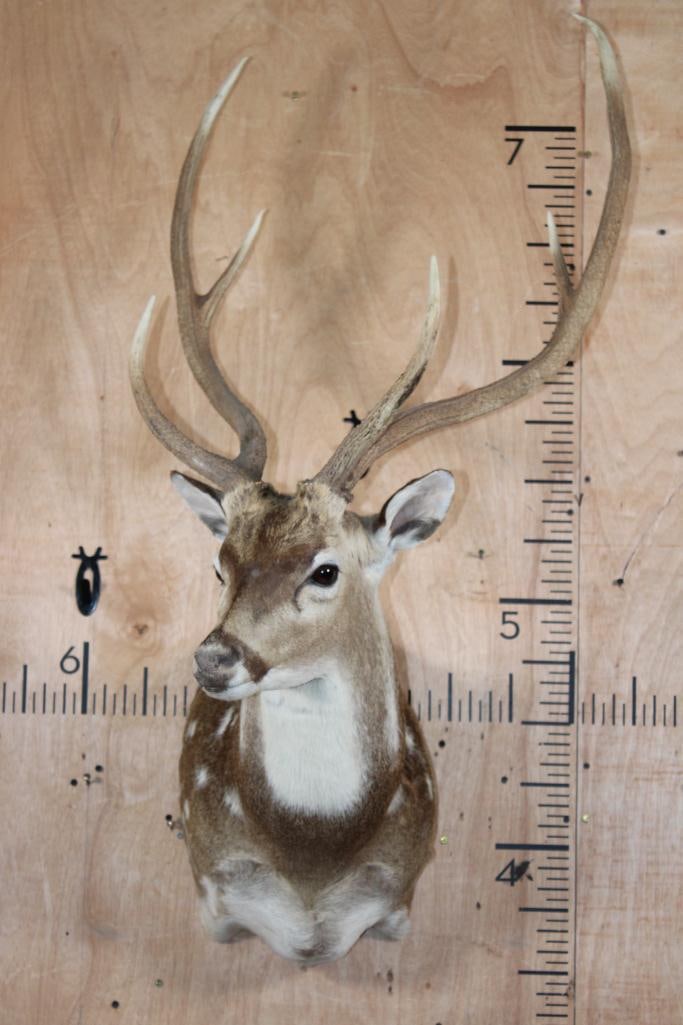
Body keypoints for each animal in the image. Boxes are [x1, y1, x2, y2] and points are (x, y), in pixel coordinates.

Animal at [129, 16, 630, 966]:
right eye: (220, 562)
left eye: (325, 569)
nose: (215, 658)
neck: (312, 866)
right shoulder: (212, 896)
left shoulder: (398, 902)